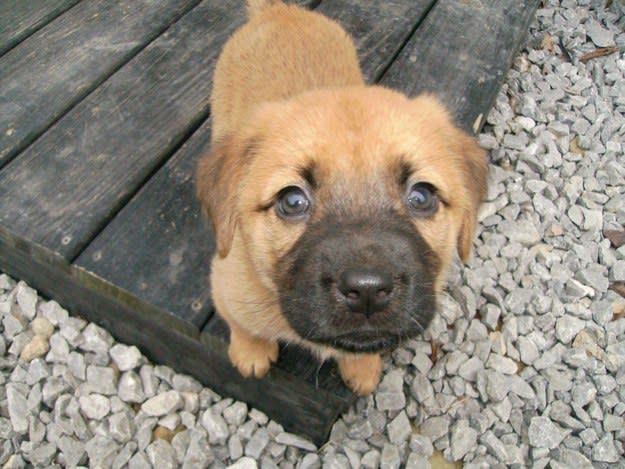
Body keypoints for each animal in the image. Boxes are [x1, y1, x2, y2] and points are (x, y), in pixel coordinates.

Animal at [196, 0, 488, 394]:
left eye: (422, 196)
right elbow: (242, 325)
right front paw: (250, 352)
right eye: (292, 201)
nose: (367, 291)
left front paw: (362, 367)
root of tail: (279, 11)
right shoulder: (226, 285)